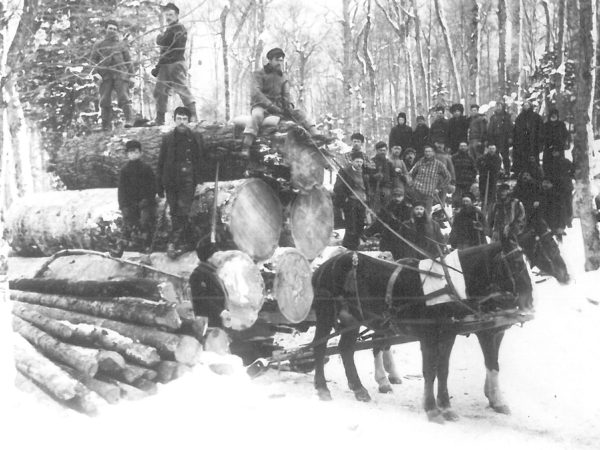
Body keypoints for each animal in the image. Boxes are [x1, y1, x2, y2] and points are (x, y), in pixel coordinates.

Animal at [312, 220, 568, 424]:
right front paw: (433, 409)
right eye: (515, 262)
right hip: (327, 315)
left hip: (353, 318)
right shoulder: (434, 336)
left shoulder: (451, 334)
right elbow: (431, 371)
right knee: (321, 347)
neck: (452, 286)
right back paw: (325, 387)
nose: (528, 300)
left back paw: (360, 388)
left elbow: (444, 370)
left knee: (347, 348)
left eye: (526, 257)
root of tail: (324, 266)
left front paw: (447, 406)